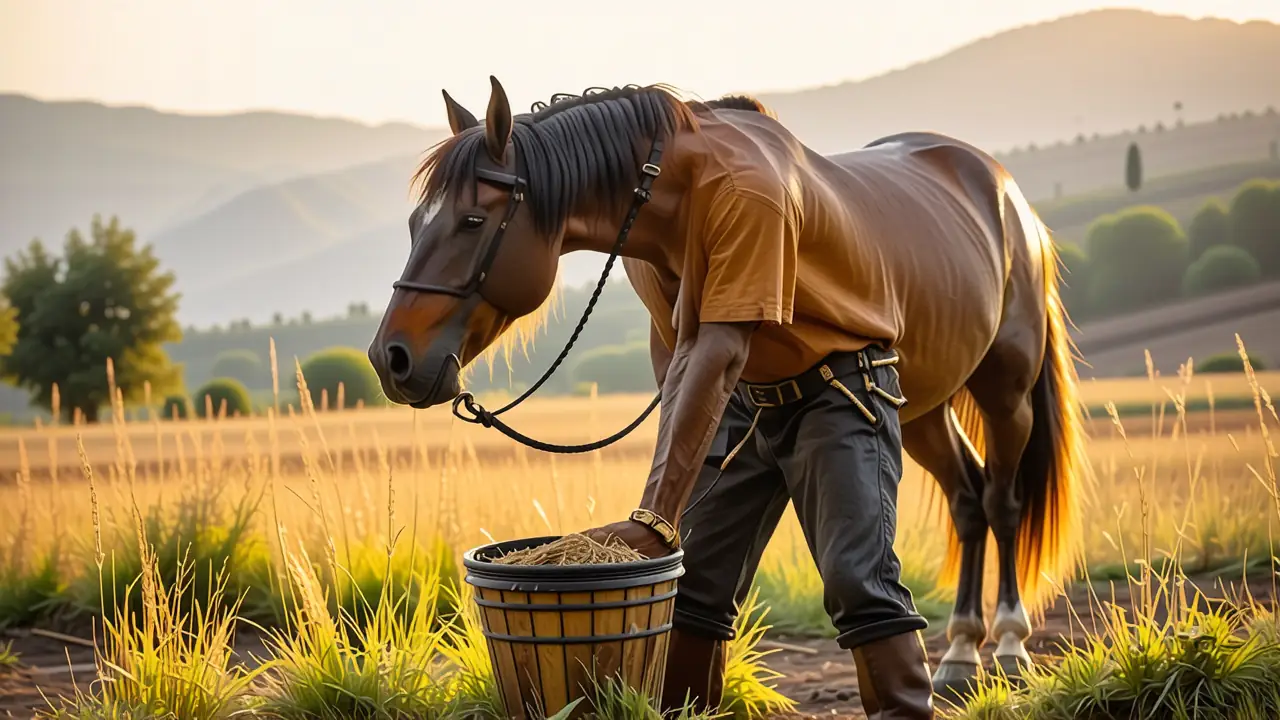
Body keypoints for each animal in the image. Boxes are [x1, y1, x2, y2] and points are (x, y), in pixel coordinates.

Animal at [367, 75, 1088, 700]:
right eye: (413, 224)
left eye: (470, 222)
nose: (390, 359)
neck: (675, 182)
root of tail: (1004, 192)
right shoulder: (678, 355)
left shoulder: (751, 229)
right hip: (919, 410)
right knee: (967, 501)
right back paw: (962, 650)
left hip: (1005, 390)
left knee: (1000, 502)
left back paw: (1008, 644)